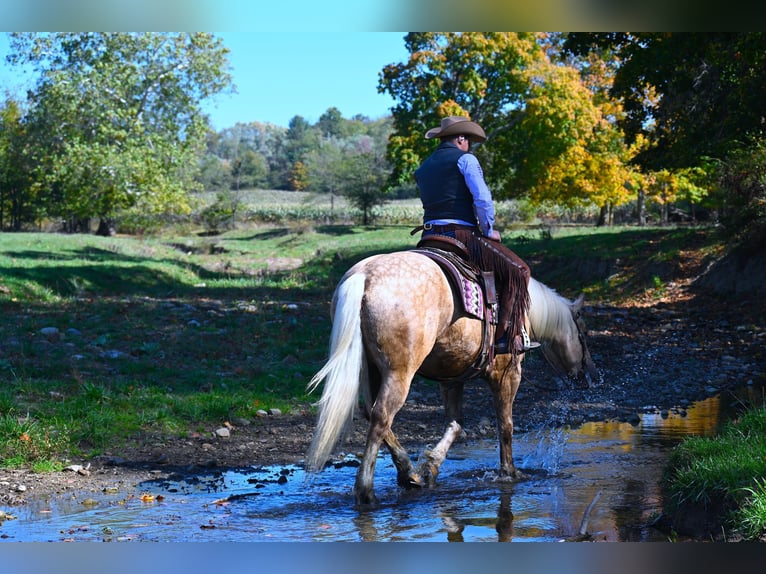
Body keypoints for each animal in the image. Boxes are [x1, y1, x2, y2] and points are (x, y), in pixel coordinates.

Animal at [306, 250, 600, 506]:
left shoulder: (452, 378)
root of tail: (365, 276)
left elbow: (456, 424)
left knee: (371, 412)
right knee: (381, 416)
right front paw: (509, 473)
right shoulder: (507, 374)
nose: (589, 376)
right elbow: (505, 424)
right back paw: (366, 491)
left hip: (371, 368)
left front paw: (431, 467)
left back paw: (409, 473)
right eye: (584, 335)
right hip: (399, 372)